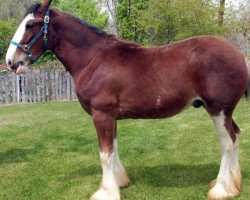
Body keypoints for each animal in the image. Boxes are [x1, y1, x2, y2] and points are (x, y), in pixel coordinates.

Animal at [4, 0, 250, 199]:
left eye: (30, 25)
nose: (10, 61)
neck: (94, 60)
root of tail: (239, 54)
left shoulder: (101, 115)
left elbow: (105, 154)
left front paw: (106, 192)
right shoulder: (110, 117)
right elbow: (113, 148)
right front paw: (119, 182)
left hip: (218, 109)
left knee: (228, 142)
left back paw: (221, 189)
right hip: (224, 112)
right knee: (236, 136)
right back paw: (232, 185)